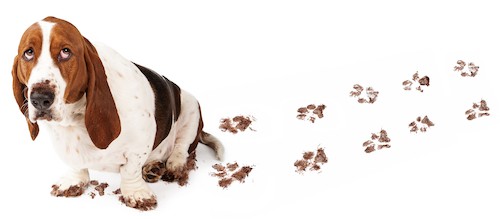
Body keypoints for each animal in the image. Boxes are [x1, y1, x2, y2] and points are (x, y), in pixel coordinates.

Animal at [10, 16, 225, 210]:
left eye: (65, 51)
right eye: (28, 53)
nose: (40, 98)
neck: (75, 116)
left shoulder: (140, 143)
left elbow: (130, 169)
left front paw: (136, 194)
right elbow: (75, 164)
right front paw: (74, 181)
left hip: (191, 108)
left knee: (182, 146)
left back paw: (174, 165)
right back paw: (153, 167)